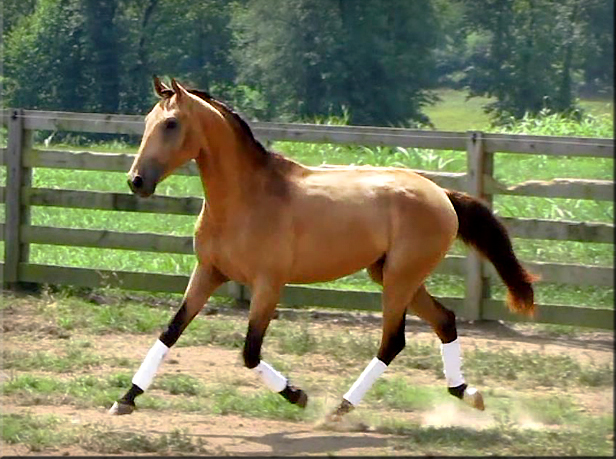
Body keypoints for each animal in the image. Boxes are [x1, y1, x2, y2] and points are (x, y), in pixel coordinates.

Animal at [109, 78, 536, 420]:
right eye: (147, 122)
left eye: (171, 124)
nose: (136, 181)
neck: (244, 200)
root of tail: (442, 195)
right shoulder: (208, 272)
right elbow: (170, 331)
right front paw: (125, 399)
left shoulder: (268, 284)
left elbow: (250, 352)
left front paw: (297, 395)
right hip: (393, 275)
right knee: (444, 320)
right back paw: (468, 393)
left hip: (400, 278)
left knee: (393, 341)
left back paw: (339, 408)